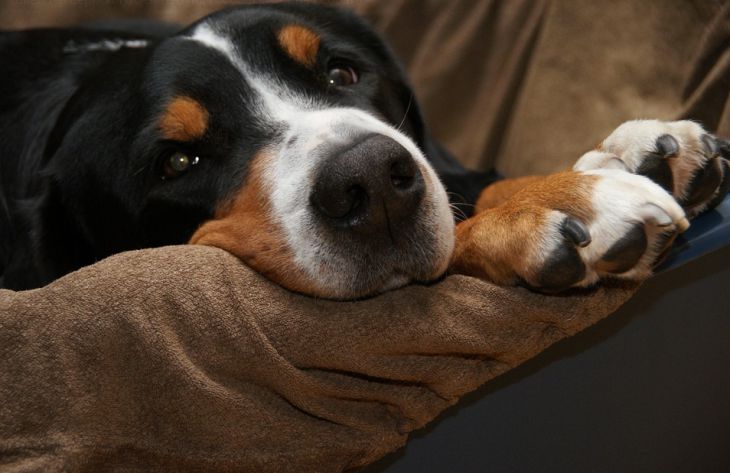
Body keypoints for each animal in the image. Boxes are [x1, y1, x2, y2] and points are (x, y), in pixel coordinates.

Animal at [0, 3, 724, 296]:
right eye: (179, 162)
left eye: (342, 73)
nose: (371, 181)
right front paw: (553, 210)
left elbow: (470, 181)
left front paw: (616, 160)